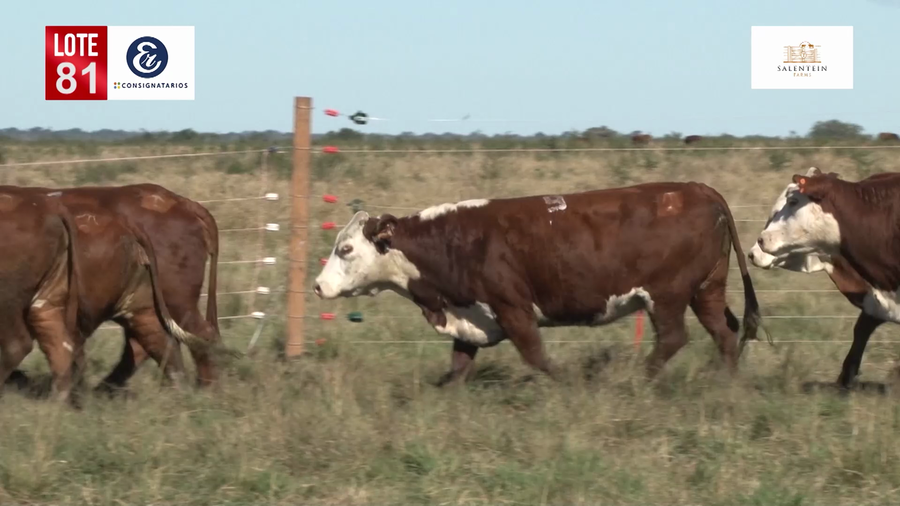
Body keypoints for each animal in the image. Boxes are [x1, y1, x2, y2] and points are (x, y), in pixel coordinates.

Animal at [313, 183, 763, 385]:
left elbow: (536, 356)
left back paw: (638, 381)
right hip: (706, 289)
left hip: (667, 295)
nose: (317, 286)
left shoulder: (513, 309)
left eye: (346, 248)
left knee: (673, 338)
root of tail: (696, 189)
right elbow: (457, 367)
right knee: (724, 333)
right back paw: (727, 383)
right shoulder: (470, 318)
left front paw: (570, 386)